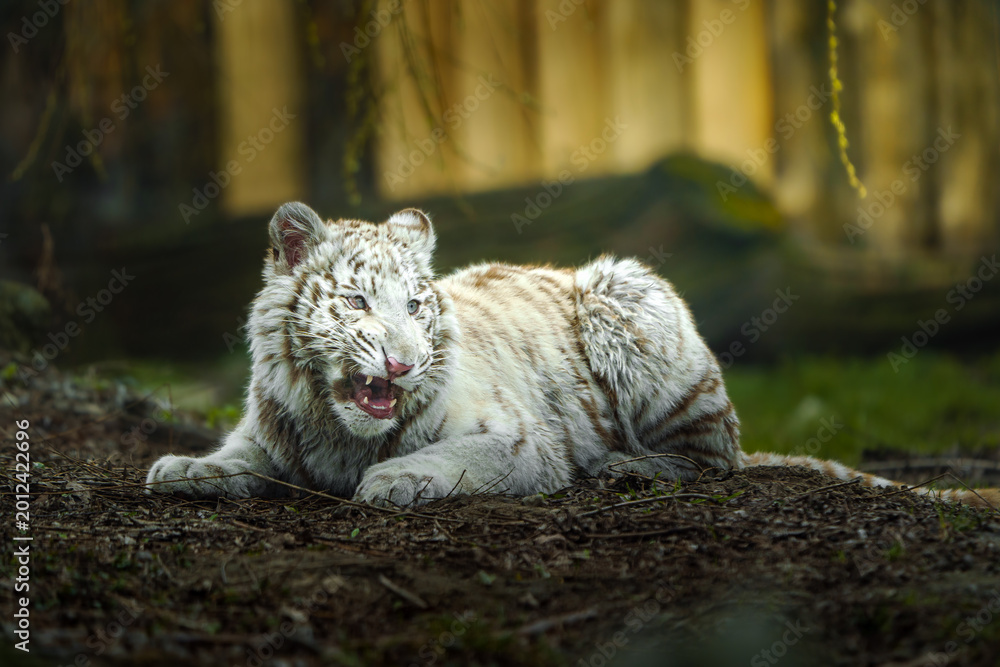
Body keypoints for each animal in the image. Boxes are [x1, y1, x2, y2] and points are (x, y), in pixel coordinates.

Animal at [145, 202, 999, 510]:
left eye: (415, 305)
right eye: (356, 303)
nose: (402, 364)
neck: (335, 427)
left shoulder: (522, 441)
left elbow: (443, 458)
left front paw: (391, 481)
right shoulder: (272, 430)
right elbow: (236, 454)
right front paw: (182, 467)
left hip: (630, 296)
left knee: (715, 456)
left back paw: (629, 467)